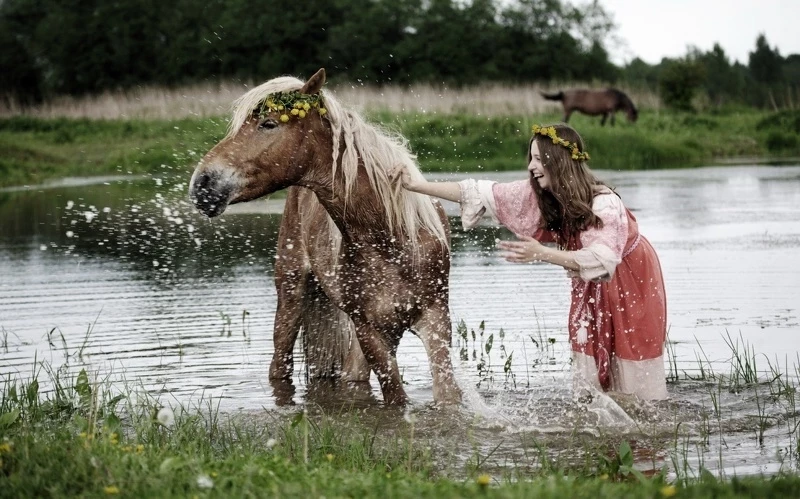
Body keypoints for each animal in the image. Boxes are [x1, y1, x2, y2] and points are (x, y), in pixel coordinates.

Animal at [189, 68, 462, 406]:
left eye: (269, 124)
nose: (202, 183)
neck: (392, 237)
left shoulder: (435, 320)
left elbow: (447, 396)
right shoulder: (371, 332)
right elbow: (396, 397)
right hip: (292, 296)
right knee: (280, 366)